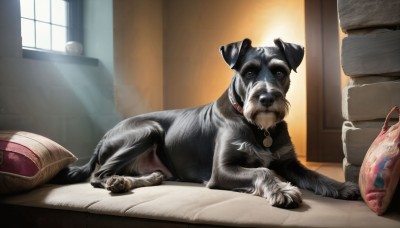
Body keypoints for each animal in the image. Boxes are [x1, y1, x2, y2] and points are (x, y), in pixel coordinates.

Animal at [54, 37, 360, 208]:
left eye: (279, 71)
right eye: (248, 72)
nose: (266, 98)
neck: (257, 127)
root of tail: (103, 138)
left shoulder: (289, 162)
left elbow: (315, 175)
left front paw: (342, 186)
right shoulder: (223, 170)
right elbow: (263, 171)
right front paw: (283, 189)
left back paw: (148, 178)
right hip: (146, 130)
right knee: (98, 175)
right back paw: (118, 181)